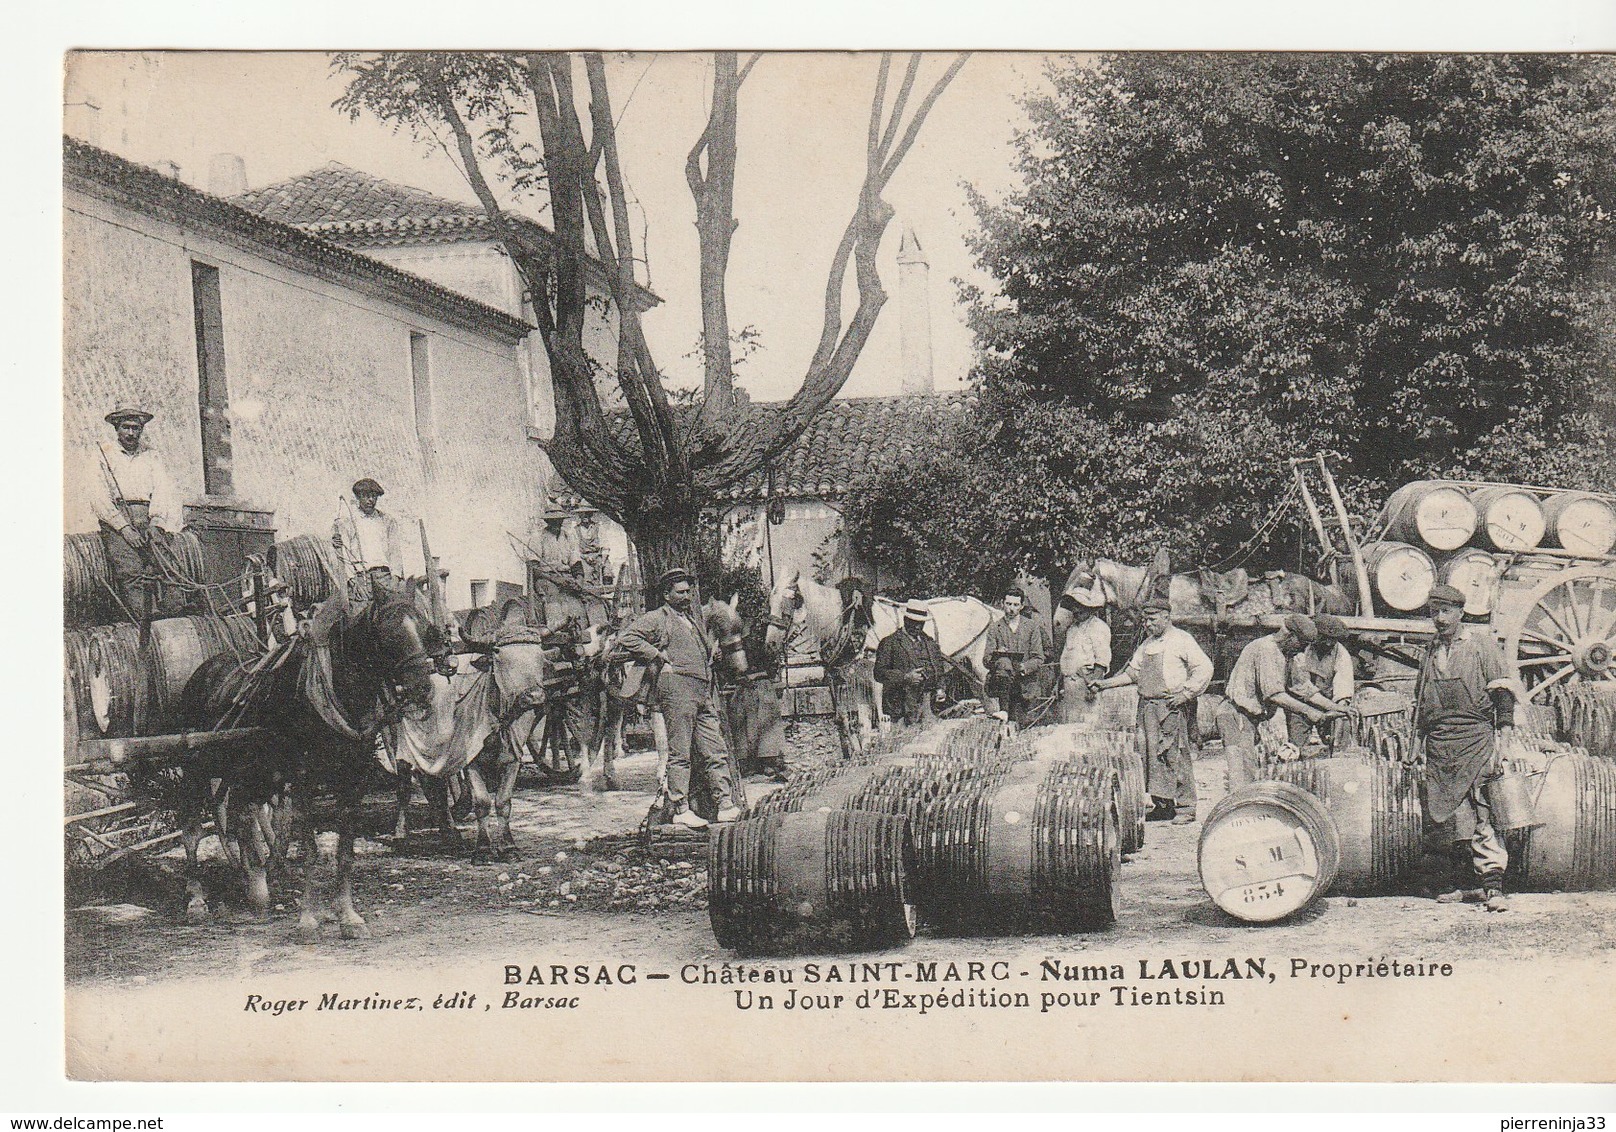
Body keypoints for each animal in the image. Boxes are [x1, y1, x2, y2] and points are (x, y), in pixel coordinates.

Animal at [178, 588, 436, 944]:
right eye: (388, 633)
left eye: (424, 629)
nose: (422, 689)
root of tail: (206, 669)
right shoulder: (302, 780)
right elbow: (311, 850)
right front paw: (308, 919)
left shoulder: (353, 780)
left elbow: (344, 851)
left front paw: (348, 916)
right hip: (199, 769)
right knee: (192, 829)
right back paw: (197, 899)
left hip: (252, 772)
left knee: (242, 816)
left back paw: (256, 886)